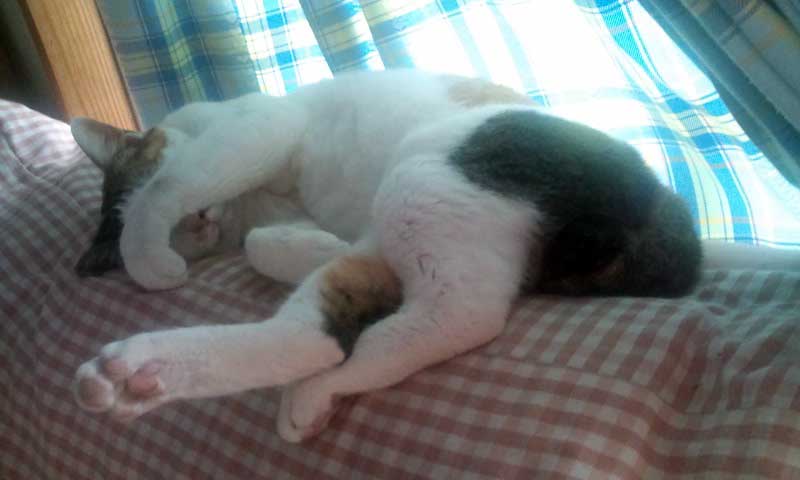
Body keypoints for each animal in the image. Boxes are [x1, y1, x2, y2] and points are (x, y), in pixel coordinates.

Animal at [70, 69, 702, 443]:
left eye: (141, 174)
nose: (198, 223)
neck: (248, 205)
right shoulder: (282, 220)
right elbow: (262, 245)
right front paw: (309, 245)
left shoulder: (256, 129)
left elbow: (173, 185)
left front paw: (147, 256)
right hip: (409, 215)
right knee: (324, 335)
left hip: (423, 174)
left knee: (459, 315)